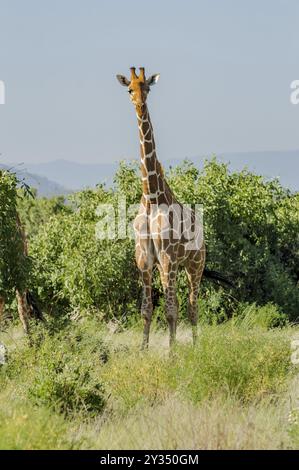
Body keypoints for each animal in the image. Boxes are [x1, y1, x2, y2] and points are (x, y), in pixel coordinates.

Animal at [117, 66, 206, 346]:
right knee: (184, 304)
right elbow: (146, 310)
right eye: (129, 89)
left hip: (194, 264)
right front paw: (143, 350)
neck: (151, 196)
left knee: (191, 305)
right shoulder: (144, 260)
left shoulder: (167, 257)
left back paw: (196, 346)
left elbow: (170, 310)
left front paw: (171, 352)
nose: (140, 105)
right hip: (174, 267)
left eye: (147, 87)